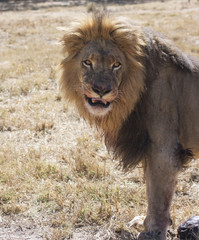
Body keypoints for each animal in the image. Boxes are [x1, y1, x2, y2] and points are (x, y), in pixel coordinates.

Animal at [58, 13, 198, 240]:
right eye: (87, 62)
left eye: (116, 65)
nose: (101, 90)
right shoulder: (150, 148)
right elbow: (150, 190)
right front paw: (144, 223)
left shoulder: (163, 149)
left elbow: (159, 196)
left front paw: (153, 232)